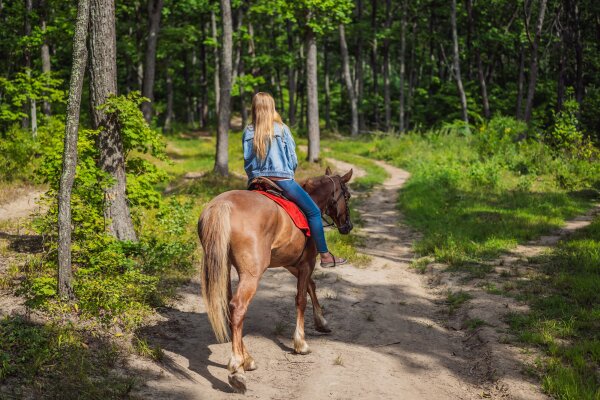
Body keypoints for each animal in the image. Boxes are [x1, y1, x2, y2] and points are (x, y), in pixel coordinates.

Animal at [199, 166, 354, 394]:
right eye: (347, 196)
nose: (347, 226)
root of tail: (221, 205)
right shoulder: (306, 263)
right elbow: (301, 298)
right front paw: (301, 343)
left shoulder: (292, 263)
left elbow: (311, 286)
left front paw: (321, 322)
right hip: (251, 273)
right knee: (238, 307)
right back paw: (237, 369)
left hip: (224, 265)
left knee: (229, 307)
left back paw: (247, 360)